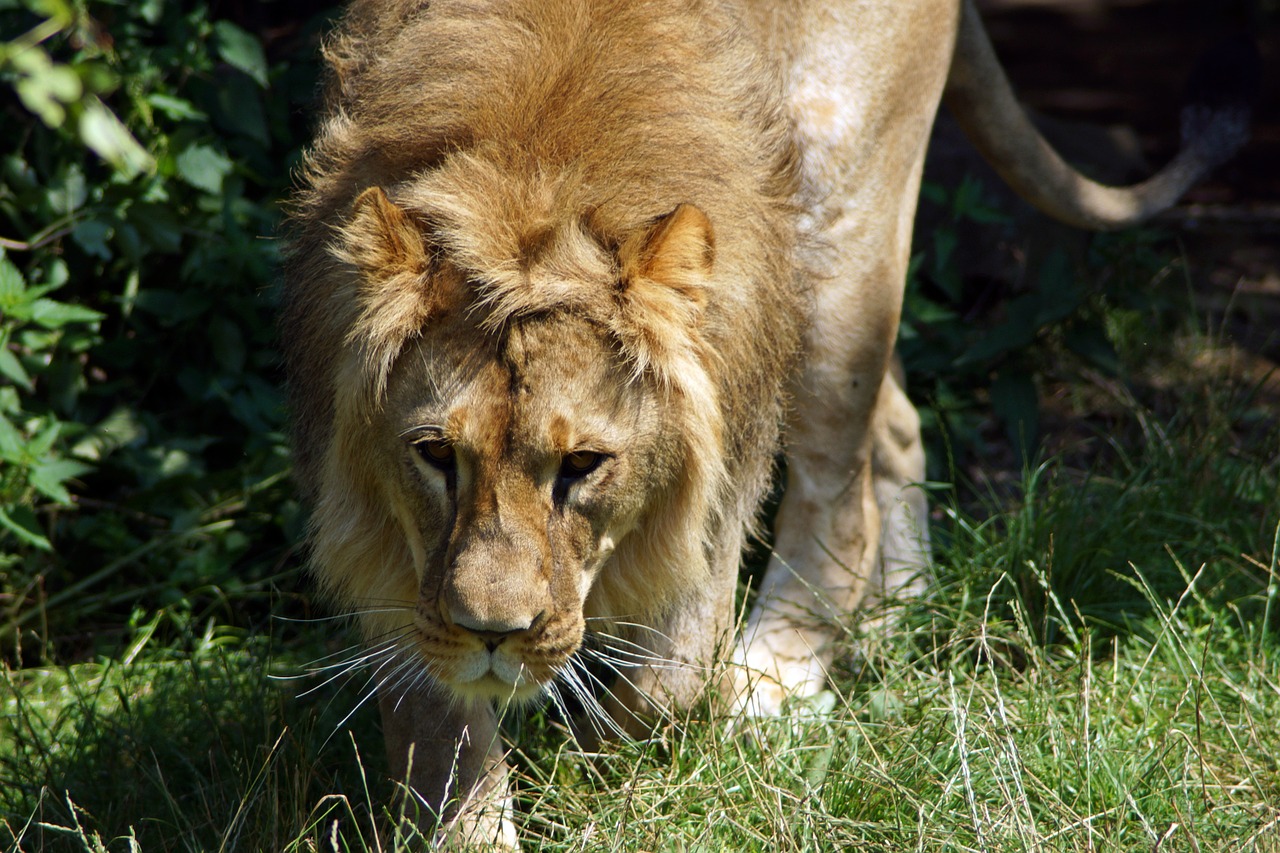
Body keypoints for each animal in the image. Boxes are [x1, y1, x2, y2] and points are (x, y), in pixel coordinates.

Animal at [280, 0, 1249, 840]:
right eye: (434, 453)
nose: (493, 635)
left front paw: (608, 781)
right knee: (897, 425)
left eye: (583, 464)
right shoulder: (399, 557)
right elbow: (442, 753)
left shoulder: (714, 481)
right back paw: (893, 620)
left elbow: (660, 687)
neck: (537, 171)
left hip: (837, 214)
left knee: (840, 482)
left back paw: (776, 680)